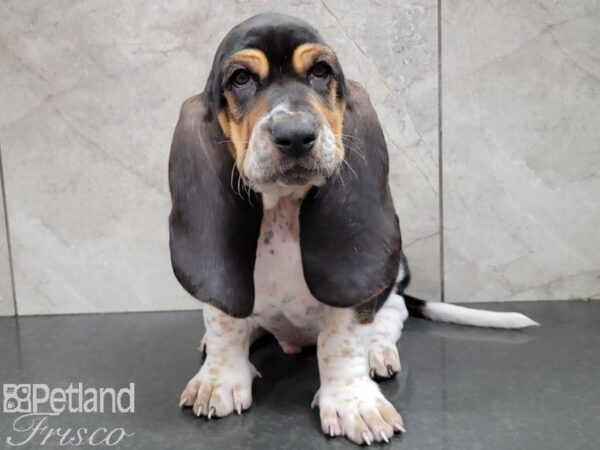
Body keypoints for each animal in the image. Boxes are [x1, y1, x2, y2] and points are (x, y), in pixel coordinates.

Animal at [169, 12, 540, 444]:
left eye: (320, 71)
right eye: (241, 78)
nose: (295, 135)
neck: (282, 205)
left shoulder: (353, 298)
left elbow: (341, 342)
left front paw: (353, 402)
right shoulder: (224, 288)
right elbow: (225, 323)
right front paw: (219, 379)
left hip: (395, 273)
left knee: (394, 311)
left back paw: (378, 351)